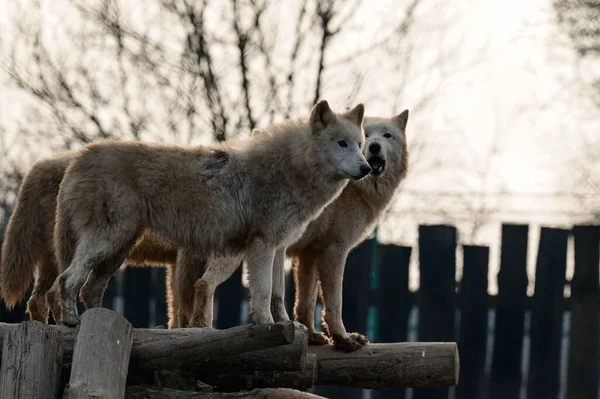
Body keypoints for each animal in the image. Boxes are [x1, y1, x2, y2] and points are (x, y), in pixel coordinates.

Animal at [47, 100, 368, 328]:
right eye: (341, 144)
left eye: (360, 145)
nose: (367, 168)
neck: (291, 168)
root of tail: (79, 157)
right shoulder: (262, 245)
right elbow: (263, 291)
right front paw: (267, 325)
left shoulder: (279, 247)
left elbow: (278, 295)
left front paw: (288, 326)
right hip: (108, 242)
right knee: (67, 279)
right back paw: (71, 321)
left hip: (118, 249)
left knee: (88, 289)